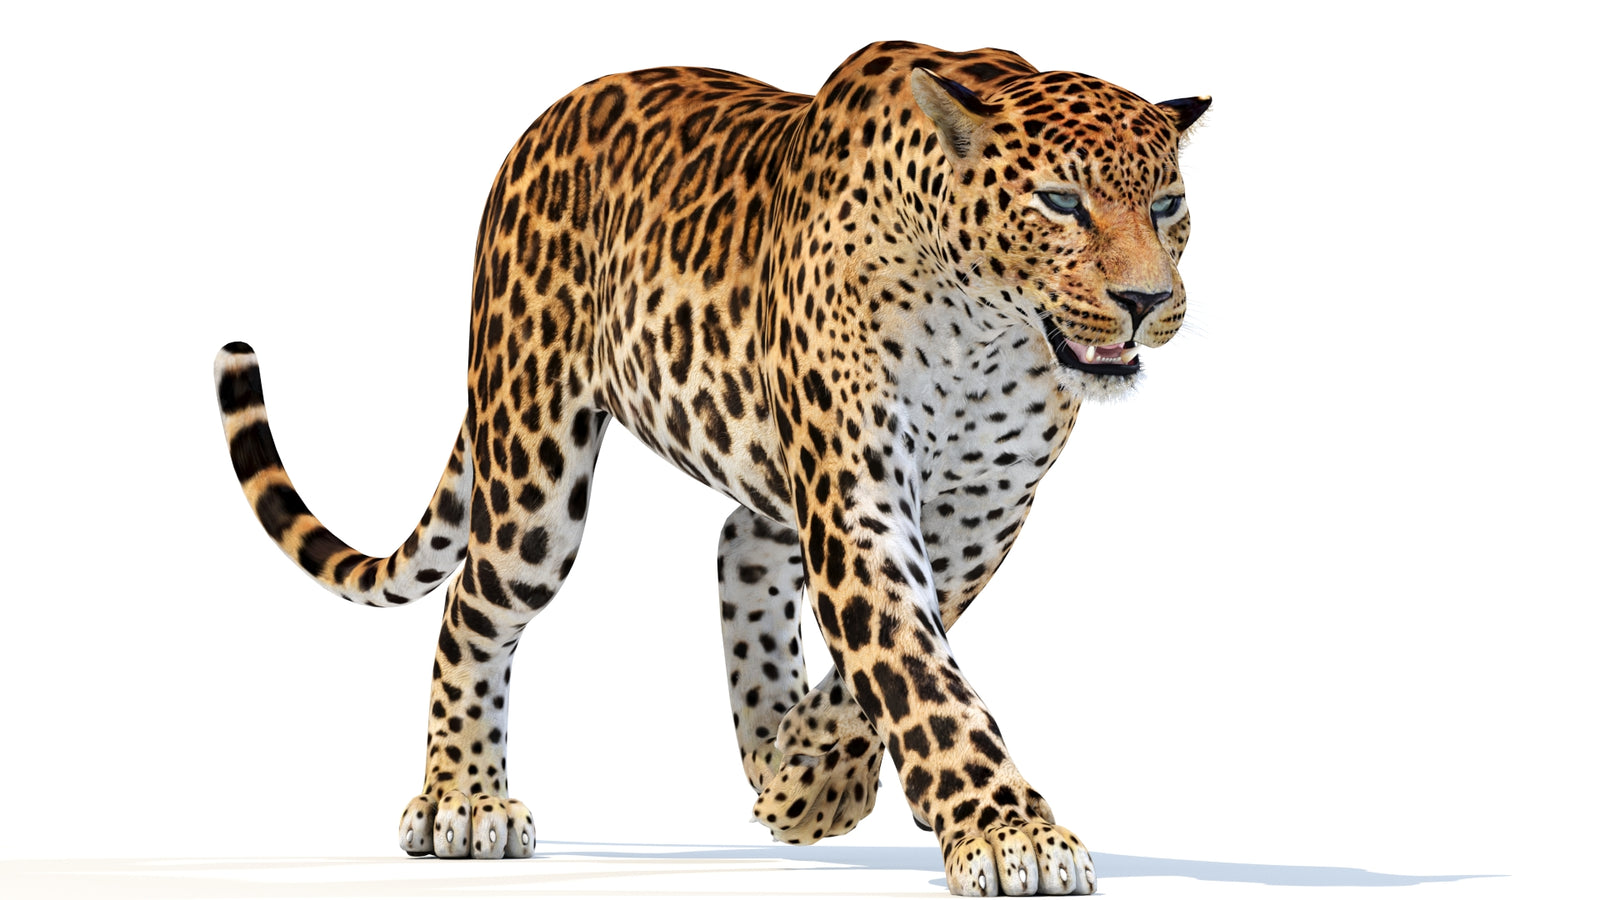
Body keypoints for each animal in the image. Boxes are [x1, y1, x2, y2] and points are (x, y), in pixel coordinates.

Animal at [213, 41, 1208, 897]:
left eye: (1167, 206)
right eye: (1060, 203)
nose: (1146, 300)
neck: (986, 332)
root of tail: (539, 125)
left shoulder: (979, 513)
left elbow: (889, 665)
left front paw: (809, 776)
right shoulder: (858, 499)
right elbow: (917, 673)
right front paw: (1010, 836)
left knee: (740, 543)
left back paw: (778, 752)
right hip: (534, 469)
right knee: (472, 609)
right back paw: (464, 796)